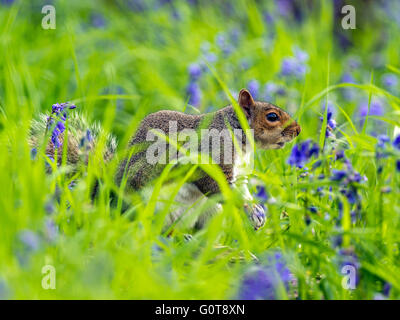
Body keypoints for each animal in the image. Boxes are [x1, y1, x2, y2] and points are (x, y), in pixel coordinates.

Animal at [30, 89, 300, 231]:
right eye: (272, 116)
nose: (298, 130)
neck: (238, 133)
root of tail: (107, 198)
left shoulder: (240, 173)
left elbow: (242, 191)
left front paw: (258, 211)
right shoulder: (211, 158)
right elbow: (219, 186)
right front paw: (249, 211)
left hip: (208, 212)